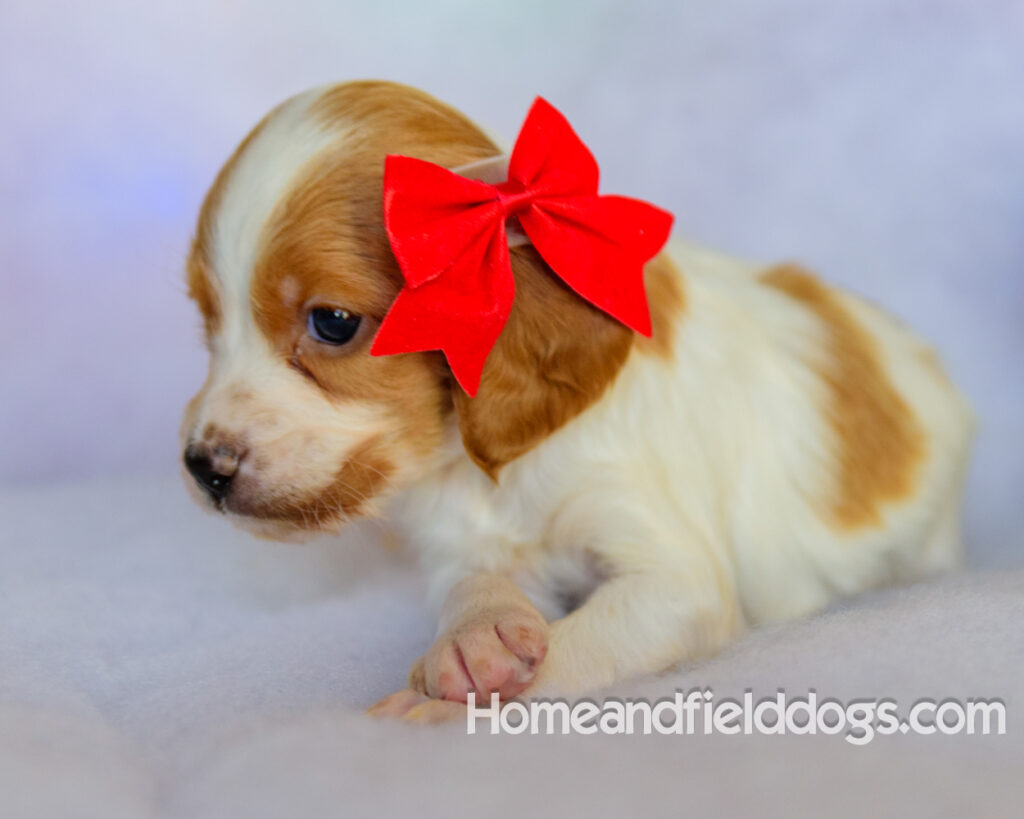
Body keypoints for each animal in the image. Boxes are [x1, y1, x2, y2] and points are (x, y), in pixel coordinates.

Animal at [180, 79, 970, 720]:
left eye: (334, 323)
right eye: (207, 320)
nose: (201, 466)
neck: (490, 472)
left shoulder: (672, 574)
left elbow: (586, 642)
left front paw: (445, 703)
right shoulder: (462, 545)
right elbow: (474, 584)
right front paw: (474, 639)